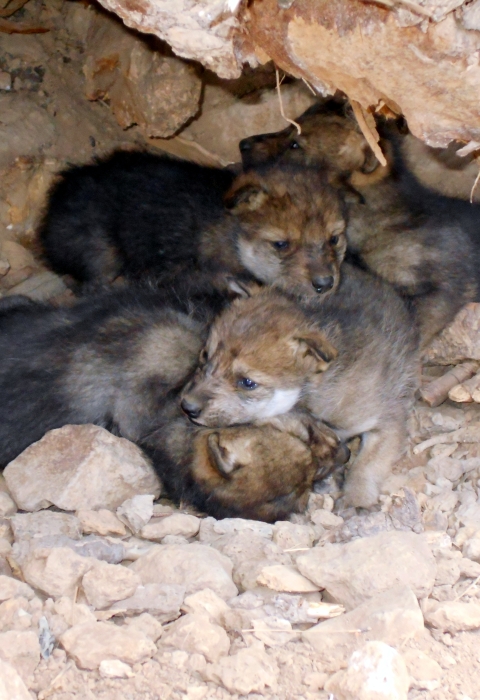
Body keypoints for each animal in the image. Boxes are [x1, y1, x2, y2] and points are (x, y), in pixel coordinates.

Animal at [181, 265, 419, 508]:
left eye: (247, 383)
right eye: (205, 355)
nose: (187, 407)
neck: (312, 391)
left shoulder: (386, 420)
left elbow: (367, 465)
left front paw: (356, 500)